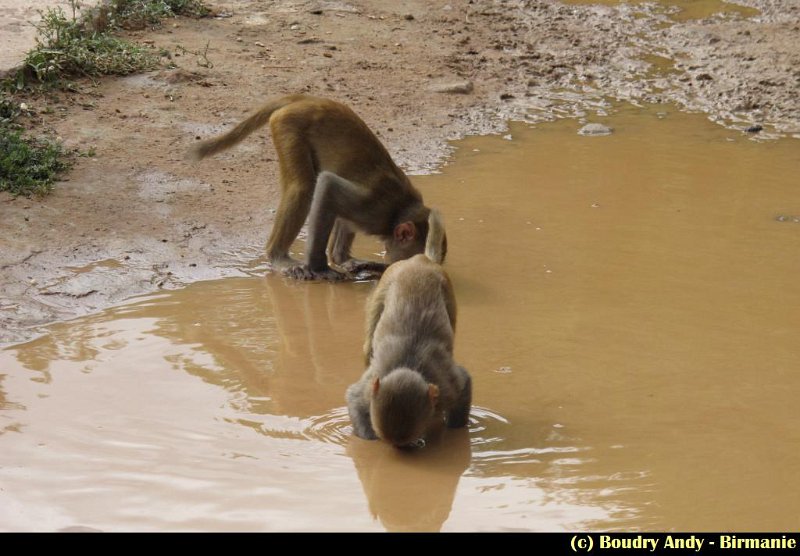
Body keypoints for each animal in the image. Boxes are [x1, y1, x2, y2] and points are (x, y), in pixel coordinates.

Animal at [188, 94, 444, 282]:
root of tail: (306, 99)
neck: (398, 212)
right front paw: (321, 267)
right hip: (287, 126)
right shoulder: (374, 211)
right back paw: (278, 257)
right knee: (302, 188)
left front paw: (349, 260)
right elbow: (328, 187)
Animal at [344, 211, 468, 450]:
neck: (408, 363)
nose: (400, 449)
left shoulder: (448, 386)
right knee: (368, 343)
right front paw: (370, 439)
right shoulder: (370, 388)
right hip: (385, 284)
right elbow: (354, 397)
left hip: (447, 291)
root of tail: (421, 259)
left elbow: (464, 384)